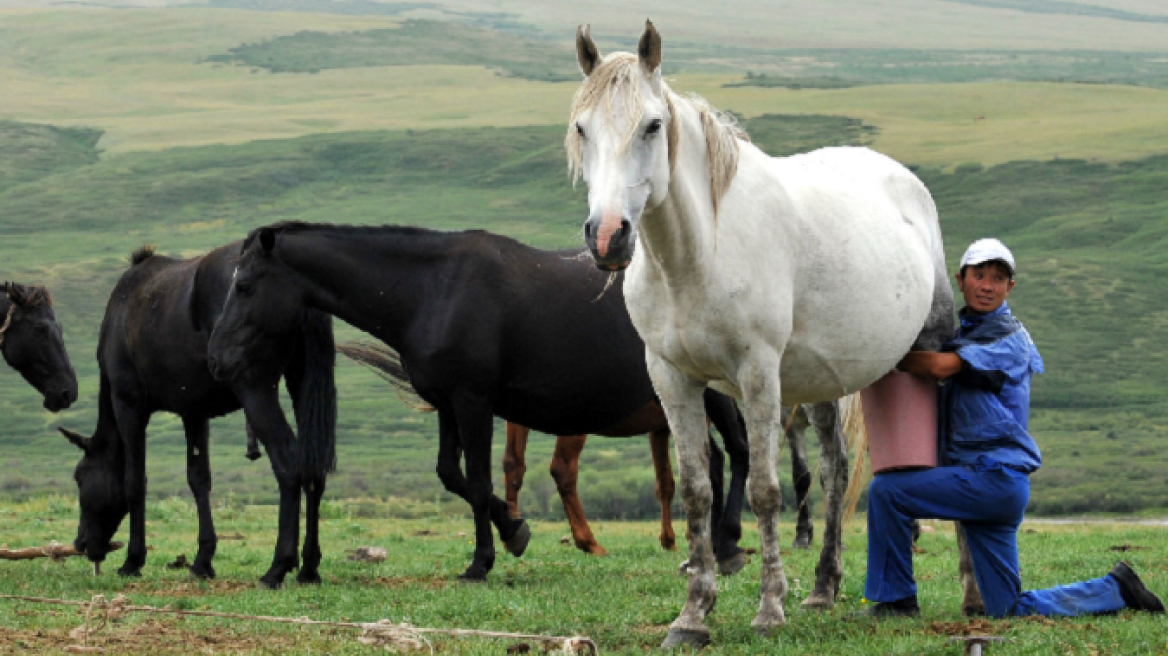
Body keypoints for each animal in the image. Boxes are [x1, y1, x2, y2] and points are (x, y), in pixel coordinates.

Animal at [59, 245, 336, 588]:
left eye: (80, 476)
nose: (81, 543)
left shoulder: (128, 405)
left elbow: (134, 482)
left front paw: (133, 560)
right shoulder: (193, 412)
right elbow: (198, 479)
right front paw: (203, 559)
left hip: (255, 390)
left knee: (288, 464)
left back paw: (279, 566)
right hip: (302, 384)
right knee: (313, 468)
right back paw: (309, 567)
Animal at [209, 221, 747, 578]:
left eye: (244, 285)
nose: (217, 357)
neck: (433, 291)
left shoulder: (473, 402)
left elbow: (479, 475)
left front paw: (482, 561)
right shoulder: (448, 403)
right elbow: (454, 475)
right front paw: (512, 529)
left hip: (713, 391)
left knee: (738, 453)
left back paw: (728, 545)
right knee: (721, 459)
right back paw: (708, 550)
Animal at [567, 23, 957, 644]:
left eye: (652, 125)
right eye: (583, 128)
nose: (608, 237)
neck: (695, 256)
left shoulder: (757, 372)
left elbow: (765, 490)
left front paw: (770, 606)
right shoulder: (671, 376)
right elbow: (697, 490)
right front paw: (693, 615)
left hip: (923, 355)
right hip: (819, 383)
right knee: (835, 470)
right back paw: (823, 588)